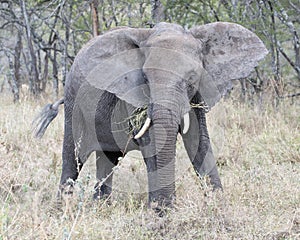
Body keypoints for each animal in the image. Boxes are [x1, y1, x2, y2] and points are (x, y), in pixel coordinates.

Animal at [33, 21, 268, 211]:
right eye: (145, 77)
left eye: (192, 78)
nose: (165, 207)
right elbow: (152, 143)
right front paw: (160, 212)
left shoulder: (197, 94)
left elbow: (198, 141)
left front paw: (218, 206)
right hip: (73, 102)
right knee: (73, 159)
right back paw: (61, 210)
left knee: (107, 159)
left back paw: (101, 207)